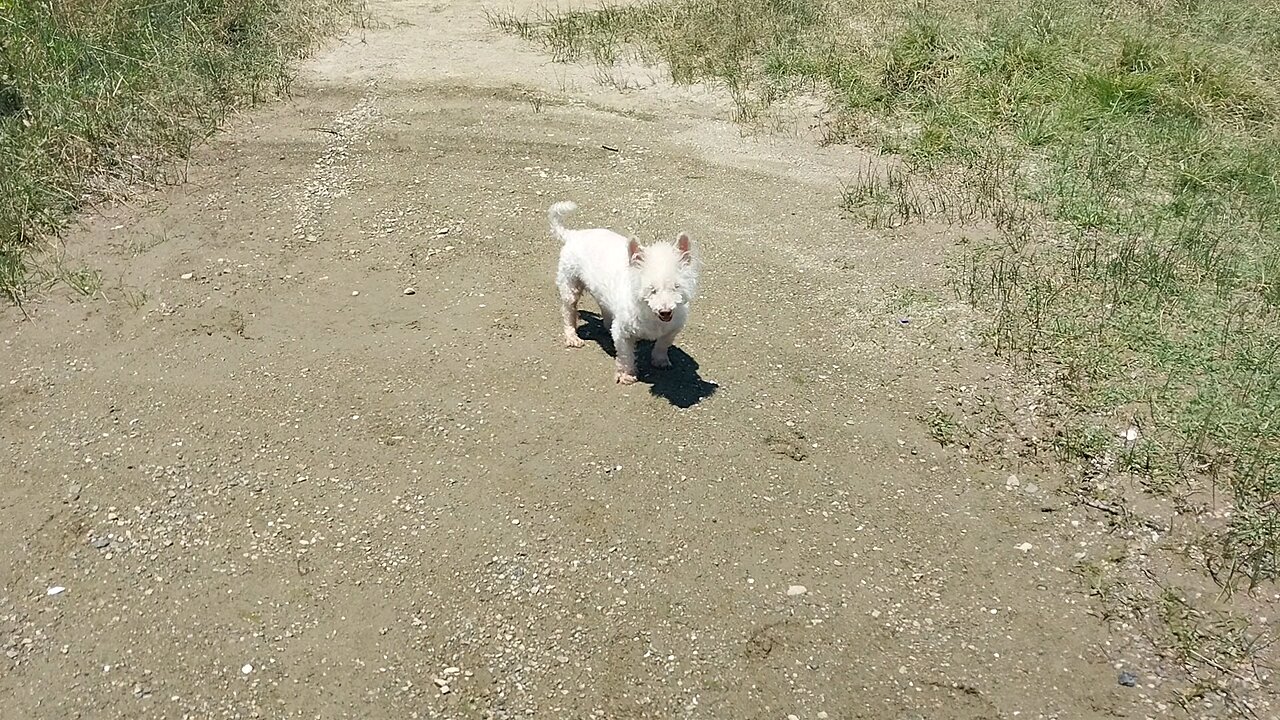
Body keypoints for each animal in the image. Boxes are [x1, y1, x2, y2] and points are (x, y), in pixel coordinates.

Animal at [550, 198, 701, 384]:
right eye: (651, 289)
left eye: (676, 286)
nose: (665, 311)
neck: (651, 315)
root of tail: (573, 235)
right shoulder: (623, 334)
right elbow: (625, 355)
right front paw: (627, 375)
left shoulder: (673, 328)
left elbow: (662, 344)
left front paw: (660, 360)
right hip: (570, 287)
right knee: (568, 312)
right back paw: (572, 337)